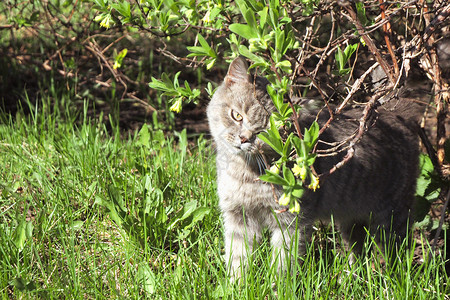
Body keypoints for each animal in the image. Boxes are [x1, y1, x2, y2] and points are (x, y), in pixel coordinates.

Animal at [207, 56, 422, 278]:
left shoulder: (291, 220)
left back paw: (393, 276)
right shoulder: (238, 215)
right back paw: (351, 276)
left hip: (392, 215)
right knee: (357, 249)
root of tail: (394, 112)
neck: (244, 174)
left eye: (265, 132)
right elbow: (237, 257)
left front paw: (278, 284)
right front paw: (236, 283)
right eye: (236, 116)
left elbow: (283, 261)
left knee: (397, 251)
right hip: (352, 216)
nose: (244, 139)